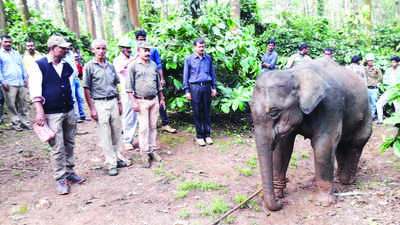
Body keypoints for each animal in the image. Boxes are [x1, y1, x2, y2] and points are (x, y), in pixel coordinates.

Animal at [250, 57, 372, 211]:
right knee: (341, 145)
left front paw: (324, 203)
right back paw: (337, 178)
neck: (294, 74)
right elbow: (283, 147)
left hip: (367, 113)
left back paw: (346, 181)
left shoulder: (331, 105)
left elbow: (324, 144)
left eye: (274, 112)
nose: (280, 203)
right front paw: (279, 194)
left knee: (355, 144)